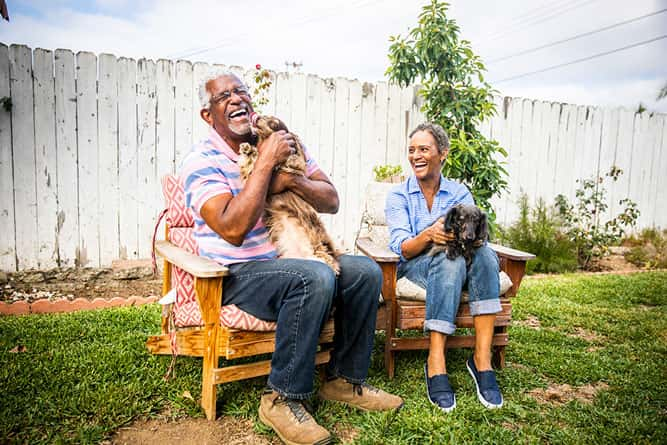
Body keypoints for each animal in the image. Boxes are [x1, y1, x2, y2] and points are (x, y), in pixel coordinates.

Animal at [240, 113, 342, 274]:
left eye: (274, 122)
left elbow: (292, 160)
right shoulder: (252, 175)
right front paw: (248, 149)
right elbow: (251, 164)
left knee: (329, 262)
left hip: (317, 246)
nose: (256, 117)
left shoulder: (293, 167)